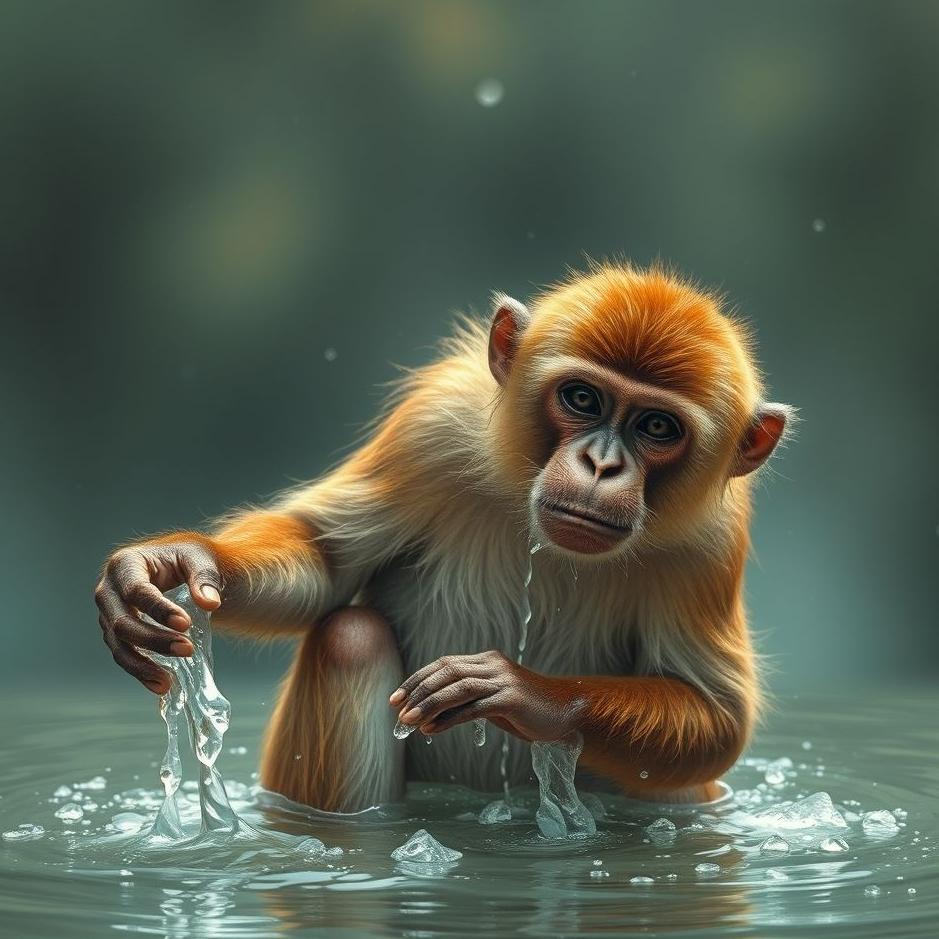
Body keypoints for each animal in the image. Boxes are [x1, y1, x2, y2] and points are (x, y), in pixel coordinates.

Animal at [94, 262, 791, 812]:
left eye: (656, 426)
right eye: (582, 397)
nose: (601, 464)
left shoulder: (711, 538)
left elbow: (717, 715)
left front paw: (531, 694)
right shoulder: (434, 426)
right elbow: (325, 561)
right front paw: (184, 561)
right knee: (351, 637)